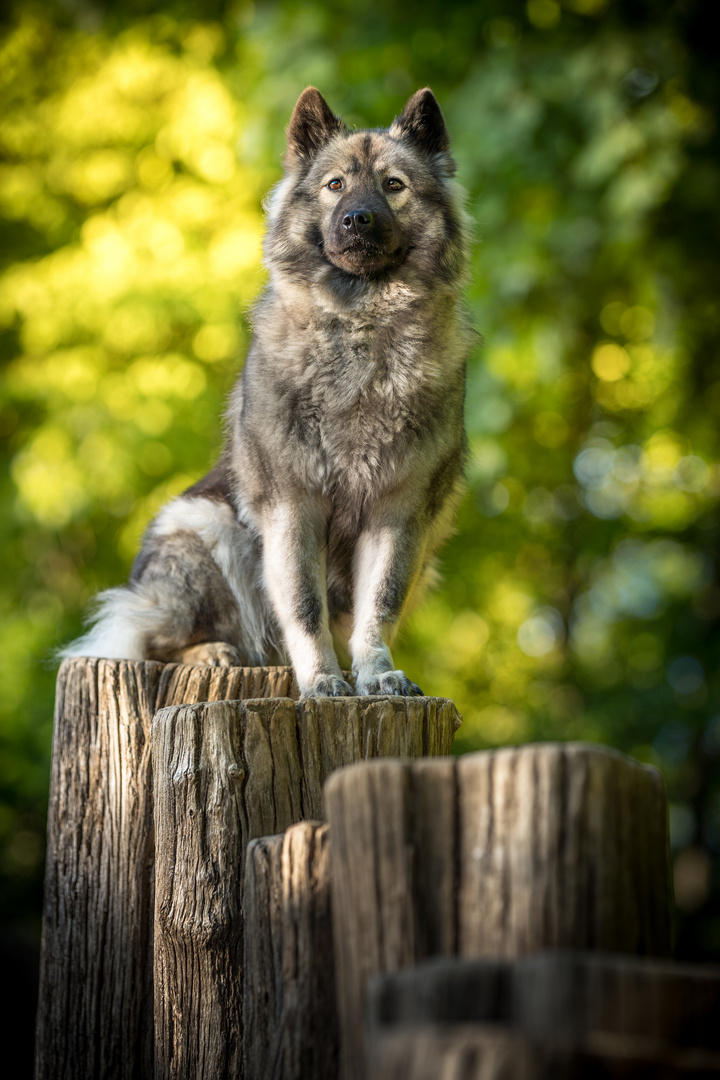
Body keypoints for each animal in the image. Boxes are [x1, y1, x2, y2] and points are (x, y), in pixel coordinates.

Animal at [64, 90, 474, 699]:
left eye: (394, 185)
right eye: (335, 184)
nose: (358, 218)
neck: (359, 327)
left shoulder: (399, 514)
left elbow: (378, 608)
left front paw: (375, 674)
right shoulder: (292, 506)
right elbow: (303, 605)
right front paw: (323, 680)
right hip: (207, 532)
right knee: (149, 638)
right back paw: (214, 652)